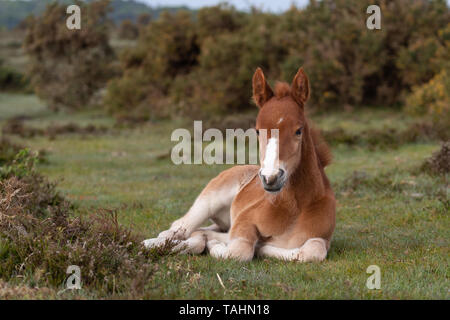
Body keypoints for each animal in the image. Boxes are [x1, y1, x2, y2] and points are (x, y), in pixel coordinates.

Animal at [142, 67, 336, 262]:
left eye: (298, 130)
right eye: (257, 130)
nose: (271, 177)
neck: (293, 208)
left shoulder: (322, 239)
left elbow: (312, 251)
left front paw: (263, 248)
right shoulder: (244, 221)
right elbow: (240, 250)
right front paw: (216, 245)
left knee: (198, 231)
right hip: (208, 201)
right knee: (180, 228)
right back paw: (151, 244)